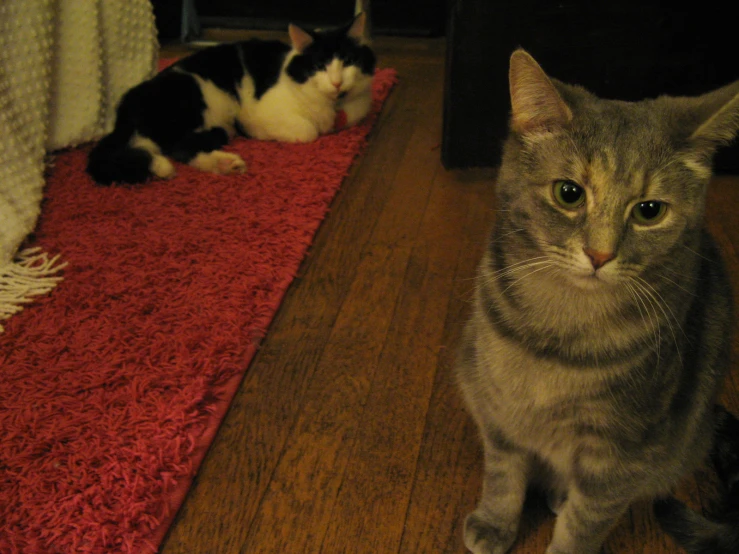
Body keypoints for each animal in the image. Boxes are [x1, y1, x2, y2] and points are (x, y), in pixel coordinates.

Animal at [87, 12, 376, 185]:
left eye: (348, 61)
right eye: (319, 66)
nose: (337, 82)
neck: (332, 106)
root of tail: (127, 104)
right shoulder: (261, 109)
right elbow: (307, 131)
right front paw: (261, 133)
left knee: (183, 147)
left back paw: (225, 164)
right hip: (193, 98)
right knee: (172, 147)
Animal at [456, 48, 739, 552]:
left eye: (649, 211)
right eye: (569, 193)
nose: (600, 254)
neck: (560, 334)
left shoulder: (620, 452)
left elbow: (585, 520)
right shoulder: (500, 409)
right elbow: (504, 476)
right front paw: (494, 522)